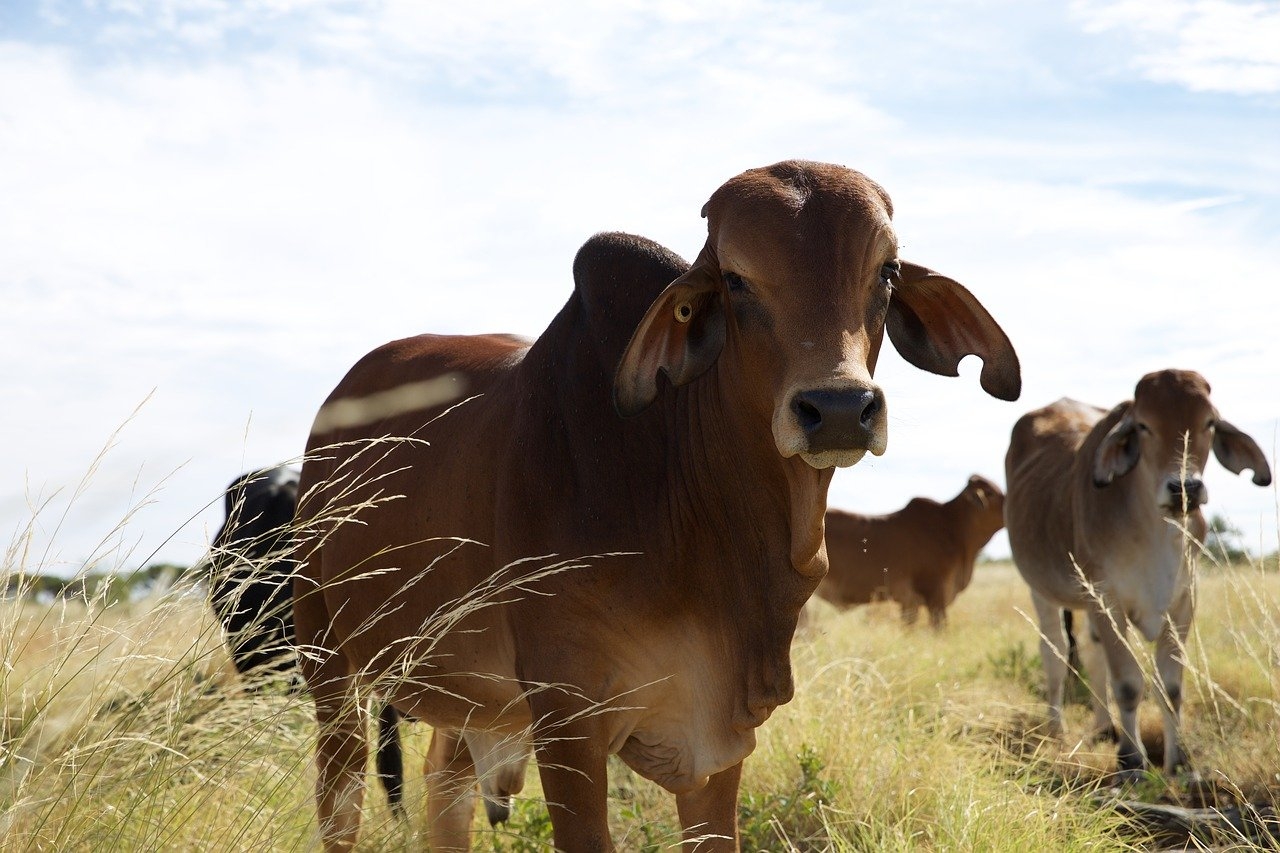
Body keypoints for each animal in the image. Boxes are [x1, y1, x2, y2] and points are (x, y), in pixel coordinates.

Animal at [1008, 371, 1269, 778]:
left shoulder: (1183, 601)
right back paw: (1056, 729)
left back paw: (1104, 727)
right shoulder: (1106, 598)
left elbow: (1172, 688)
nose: (1185, 488)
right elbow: (1129, 683)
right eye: (1144, 425)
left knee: (1092, 653)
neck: (1155, 530)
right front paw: (1131, 760)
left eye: (1209, 422)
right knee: (1054, 653)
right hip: (1042, 592)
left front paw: (1179, 761)